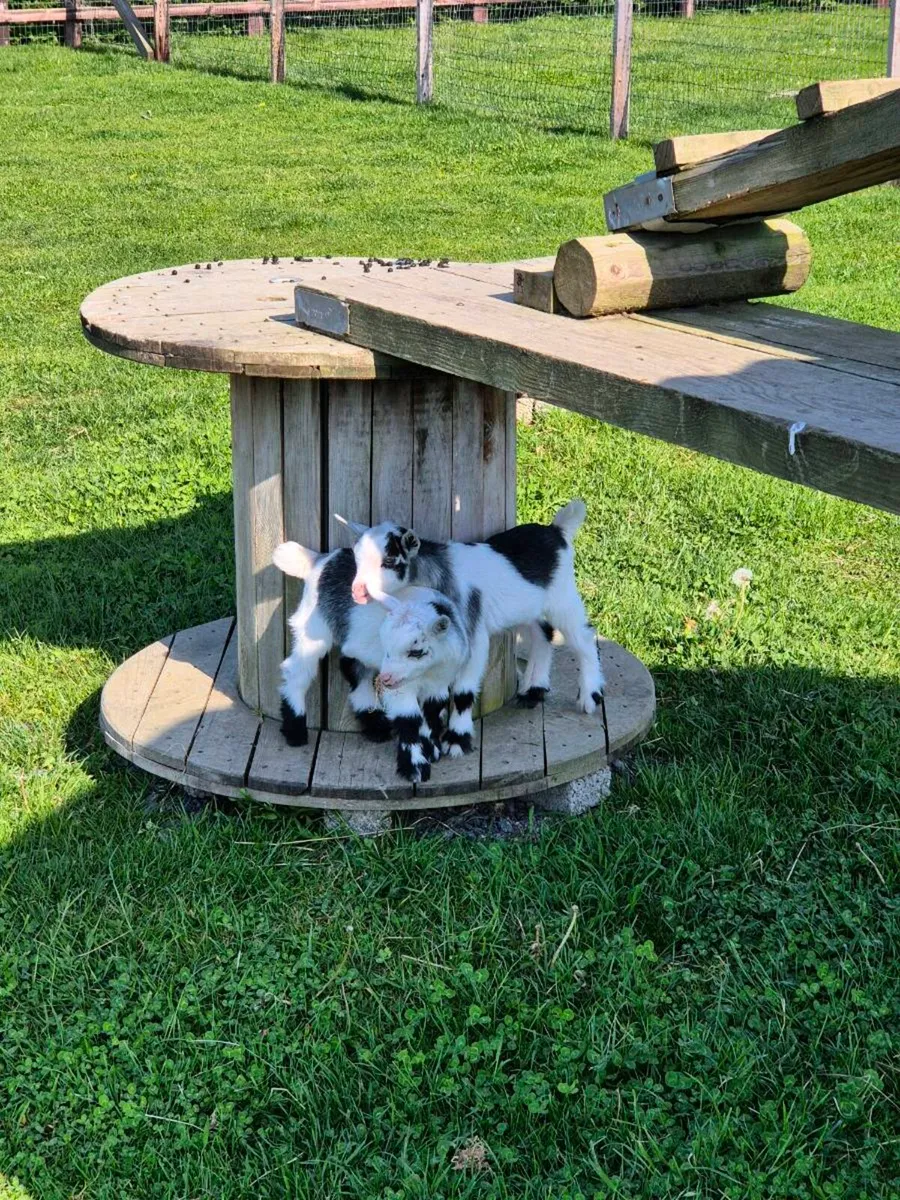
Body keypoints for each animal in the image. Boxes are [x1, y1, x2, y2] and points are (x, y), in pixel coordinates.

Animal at [272, 541, 469, 782]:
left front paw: (431, 749)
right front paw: (415, 767)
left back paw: (375, 724)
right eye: (388, 649)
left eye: (416, 652)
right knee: (298, 672)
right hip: (314, 626)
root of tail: (321, 559)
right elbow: (410, 720)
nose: (386, 678)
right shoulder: (401, 689)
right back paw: (295, 729)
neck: (428, 673)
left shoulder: (439, 684)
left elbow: (431, 714)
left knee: (354, 668)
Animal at [342, 500, 604, 754]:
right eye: (356, 558)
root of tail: (556, 531)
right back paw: (533, 690)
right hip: (529, 606)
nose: (357, 591)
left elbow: (462, 692)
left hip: (562, 596)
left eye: (388, 561)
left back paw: (590, 695)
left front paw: (457, 740)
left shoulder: (474, 633)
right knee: (543, 635)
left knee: (583, 637)